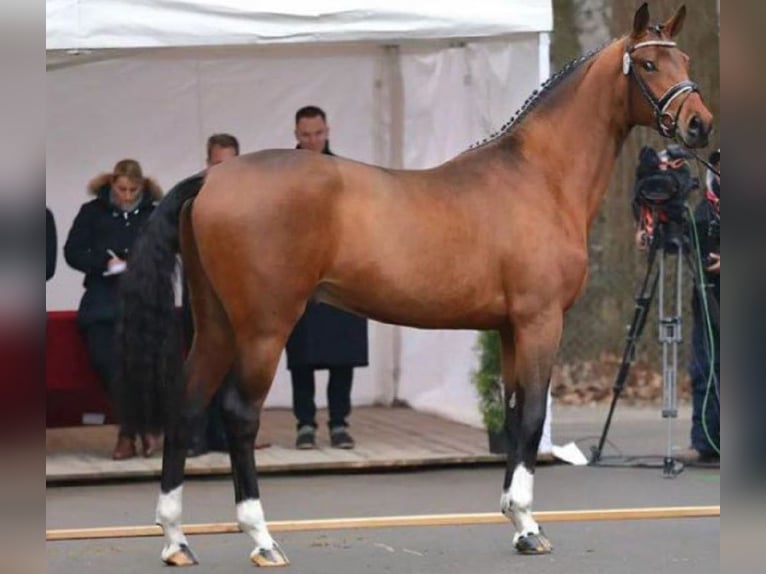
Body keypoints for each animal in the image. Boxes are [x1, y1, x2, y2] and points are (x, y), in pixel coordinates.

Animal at [118, 2, 712, 568]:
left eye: (685, 60)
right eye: (650, 64)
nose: (699, 125)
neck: (538, 178)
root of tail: (212, 177)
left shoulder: (509, 328)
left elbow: (513, 412)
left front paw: (517, 519)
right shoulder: (540, 320)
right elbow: (533, 415)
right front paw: (529, 529)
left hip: (215, 323)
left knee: (184, 404)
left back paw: (176, 539)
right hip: (264, 328)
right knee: (239, 415)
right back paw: (262, 540)